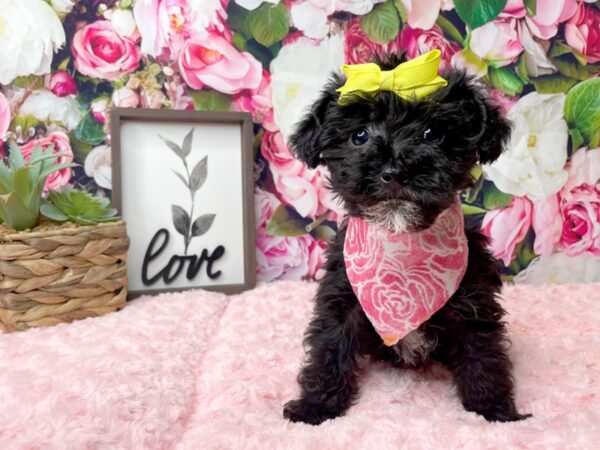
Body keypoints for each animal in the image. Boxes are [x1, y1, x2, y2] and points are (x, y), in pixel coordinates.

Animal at [284, 59, 532, 426]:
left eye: (433, 134)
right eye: (360, 135)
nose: (395, 171)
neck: (400, 239)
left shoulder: (474, 301)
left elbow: (481, 353)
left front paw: (495, 411)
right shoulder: (342, 296)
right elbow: (330, 348)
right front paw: (314, 407)